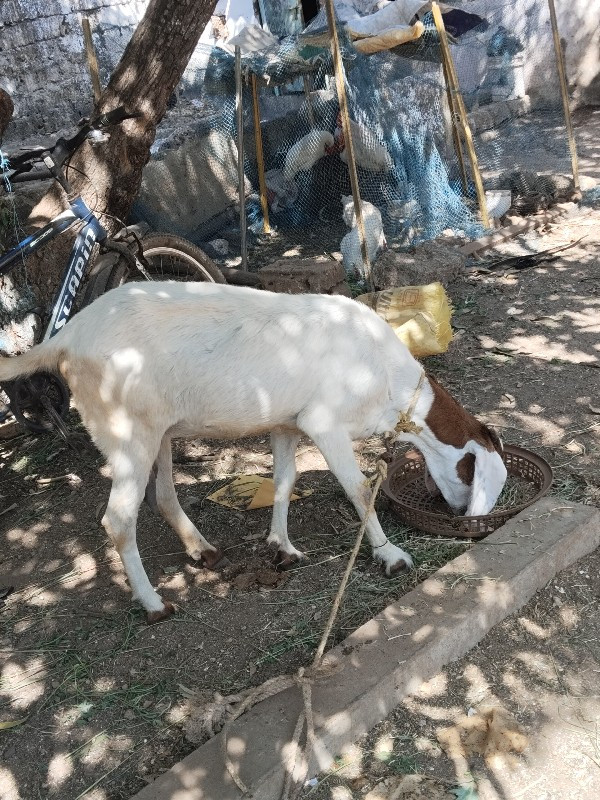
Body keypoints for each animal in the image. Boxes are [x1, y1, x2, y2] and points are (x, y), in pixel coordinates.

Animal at [0, 284, 506, 620]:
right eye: (472, 474)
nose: (459, 513)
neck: (387, 377)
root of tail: (68, 337)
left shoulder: (287, 422)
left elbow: (284, 480)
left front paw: (282, 547)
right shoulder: (325, 422)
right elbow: (360, 490)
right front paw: (391, 556)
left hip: (156, 429)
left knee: (162, 496)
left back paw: (203, 551)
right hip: (127, 430)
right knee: (119, 519)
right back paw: (154, 603)